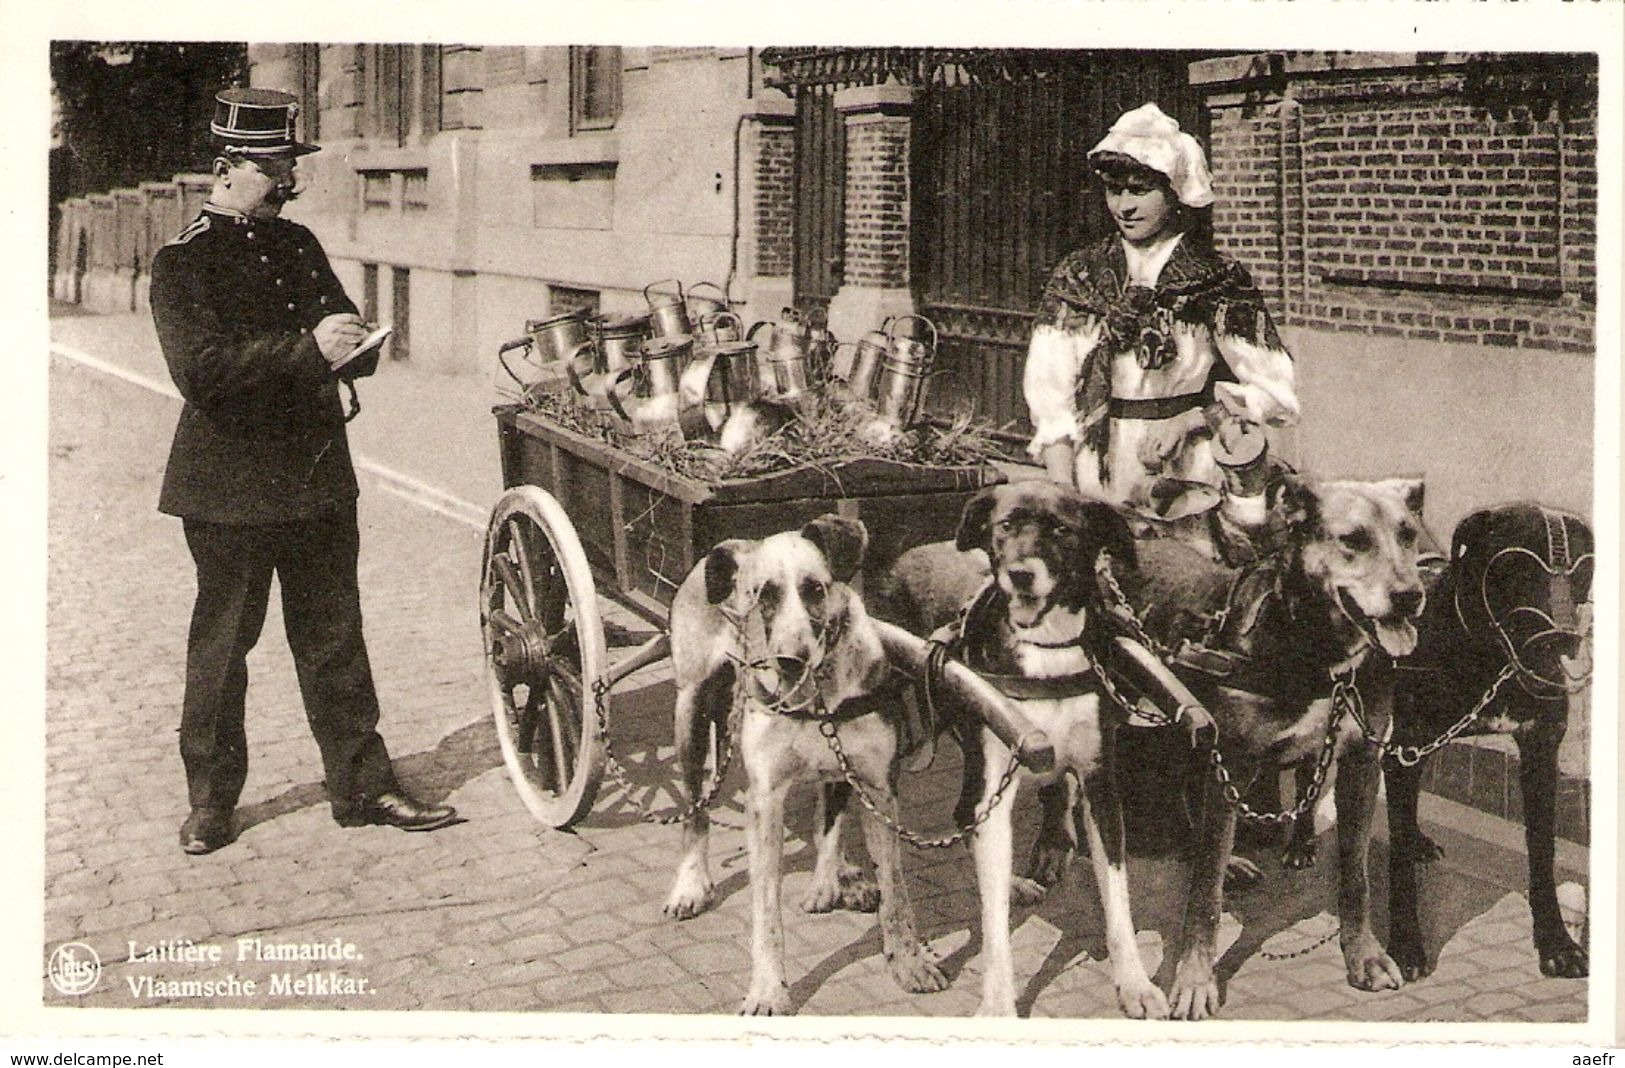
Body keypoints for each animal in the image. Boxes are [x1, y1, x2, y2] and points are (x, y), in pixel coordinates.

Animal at [656, 516, 949, 1014]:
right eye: (763, 595)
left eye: (814, 588)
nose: (789, 661)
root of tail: (727, 544)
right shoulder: (765, 799)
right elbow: (766, 910)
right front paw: (768, 989)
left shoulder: (878, 787)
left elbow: (895, 890)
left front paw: (908, 962)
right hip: (690, 711)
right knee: (695, 812)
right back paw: (691, 885)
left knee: (829, 814)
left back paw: (834, 877)